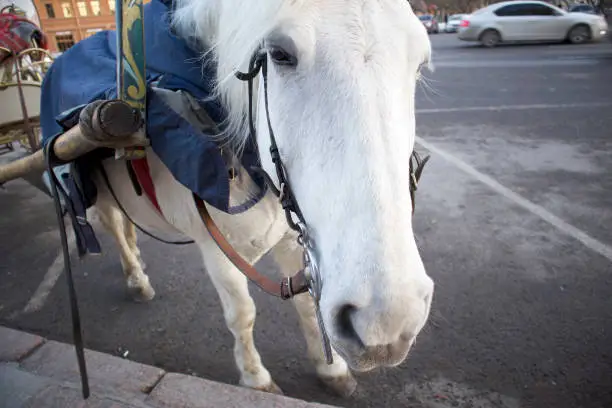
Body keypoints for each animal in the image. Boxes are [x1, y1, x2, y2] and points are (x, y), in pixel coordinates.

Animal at [89, 0, 436, 396]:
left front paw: (330, 368)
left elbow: (307, 305)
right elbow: (242, 314)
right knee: (113, 226)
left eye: (420, 63)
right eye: (280, 54)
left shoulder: (292, 238)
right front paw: (256, 378)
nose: (386, 319)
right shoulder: (218, 252)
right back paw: (135, 278)